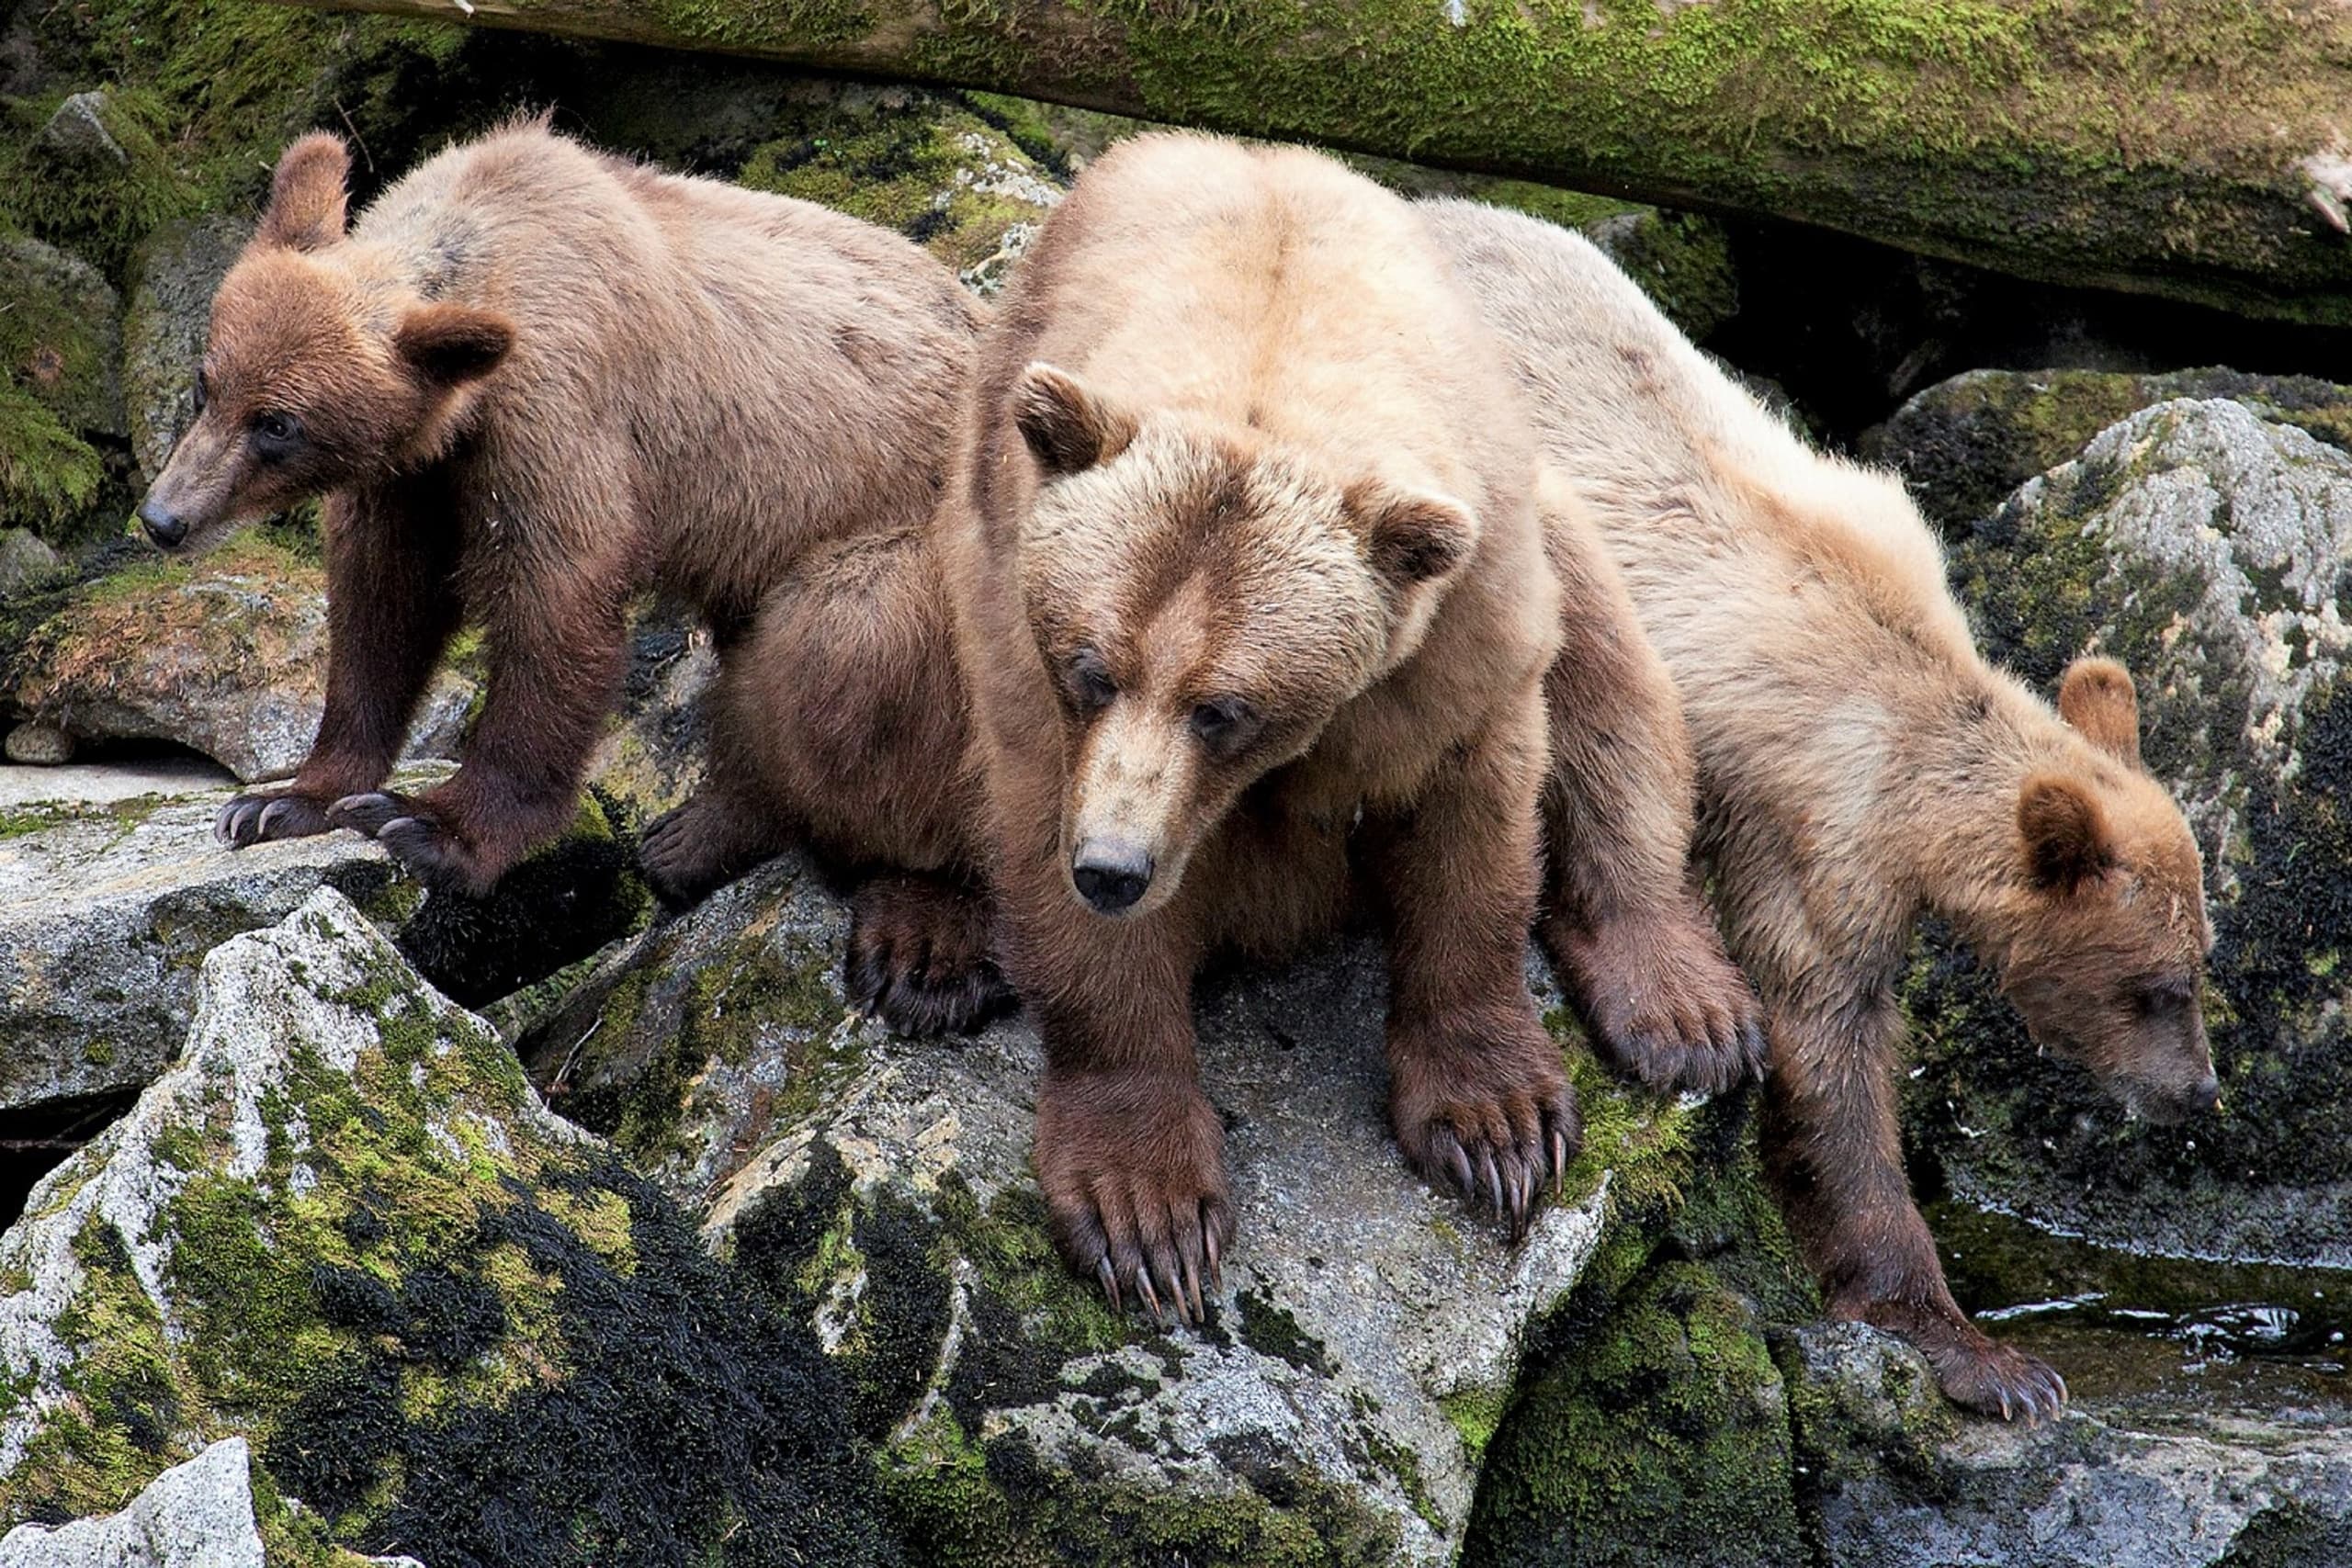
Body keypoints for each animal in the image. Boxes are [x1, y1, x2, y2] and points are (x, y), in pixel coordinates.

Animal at [137, 120, 981, 903]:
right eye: (208, 383)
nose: (163, 517)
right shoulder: (412, 480)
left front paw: (432, 824)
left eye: (279, 425)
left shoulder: (558, 411)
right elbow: (381, 609)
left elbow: (553, 605)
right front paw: (281, 800)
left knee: (840, 646)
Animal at [937, 132, 1758, 1316]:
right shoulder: (1020, 641)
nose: (1114, 868)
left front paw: (1497, 1128)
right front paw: (1148, 1212)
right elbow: (1065, 895)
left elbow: (1474, 837)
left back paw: (1686, 1011)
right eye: (1092, 670)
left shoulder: (1458, 633)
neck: (1269, 348)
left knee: (1618, 699)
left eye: (1223, 709)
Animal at [1425, 196, 2218, 1422]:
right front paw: (1985, 1357)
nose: (2198, 1094)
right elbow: (1826, 1051)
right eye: (2156, 987)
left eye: (2200, 964)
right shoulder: (1815, 830)